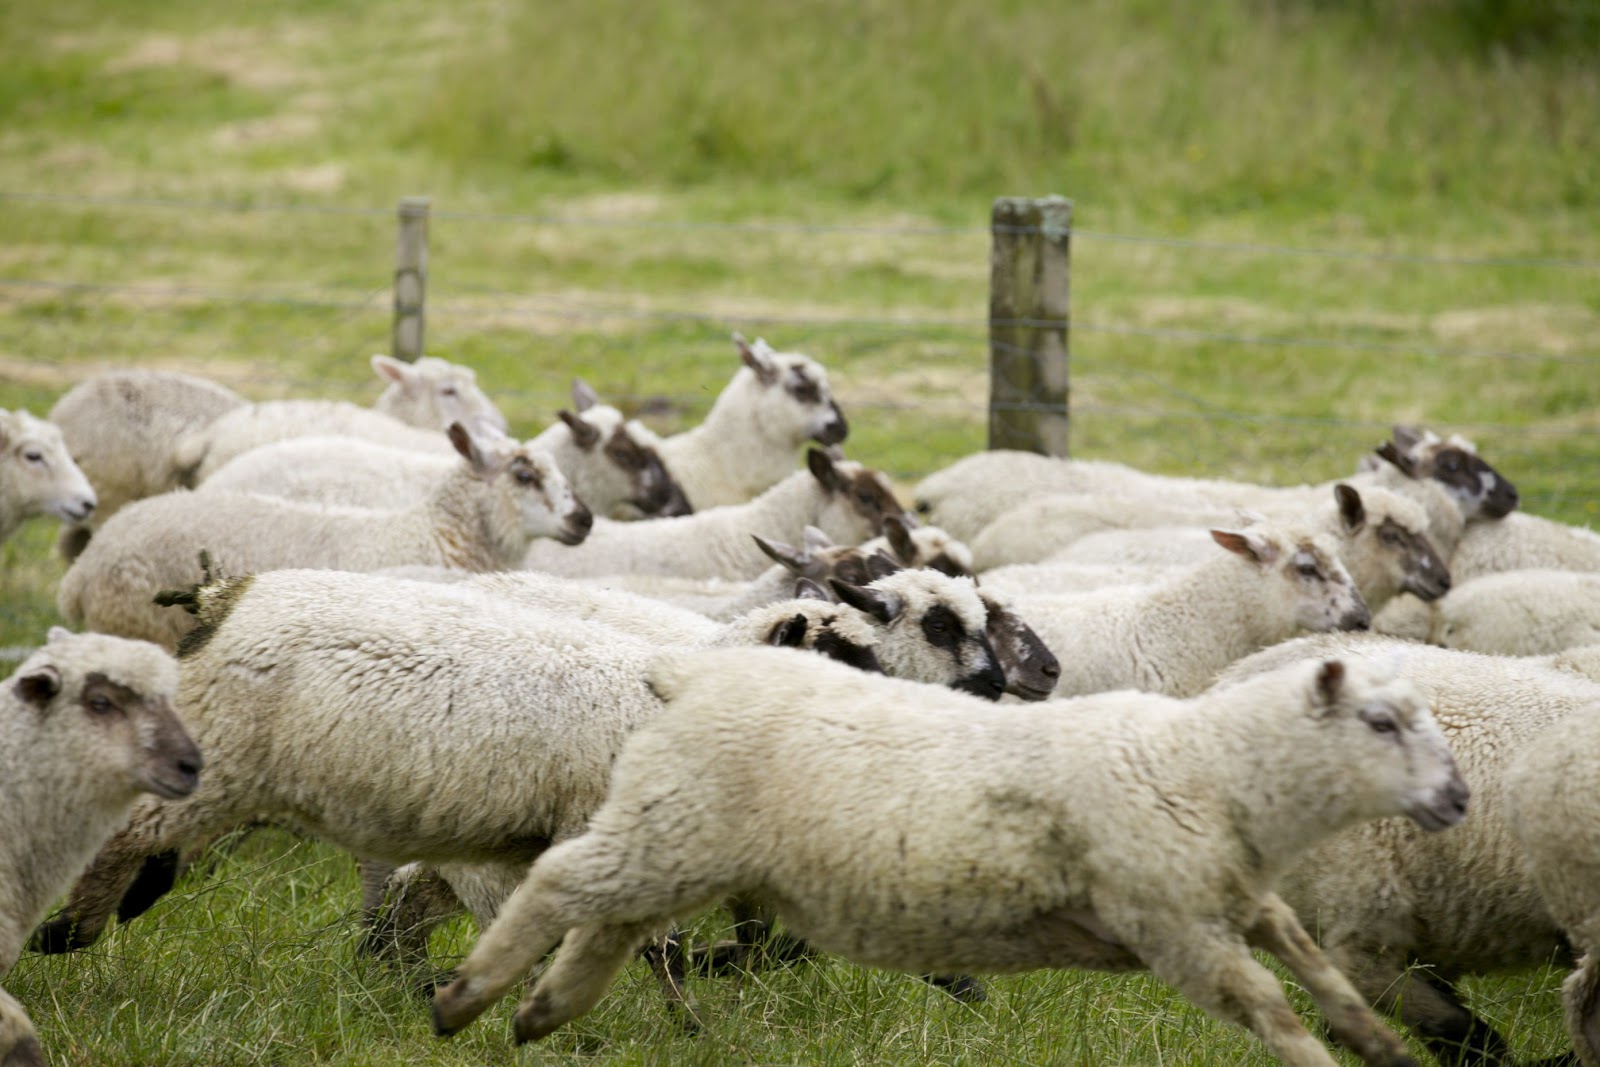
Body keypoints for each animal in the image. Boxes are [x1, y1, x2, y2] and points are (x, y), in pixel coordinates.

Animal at [30, 561, 1005, 959]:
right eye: (937, 626)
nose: (1000, 685)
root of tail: (226, 596)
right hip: (223, 758)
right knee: (129, 832)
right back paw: (67, 931)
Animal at [430, 645, 1466, 1067]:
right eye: (1380, 723)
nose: (1457, 798)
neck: (1205, 764)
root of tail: (690, 676)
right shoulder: (1173, 926)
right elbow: (1266, 1004)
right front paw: (1325, 1058)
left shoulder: (1238, 902)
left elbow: (1314, 964)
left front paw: (1376, 1041)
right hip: (673, 829)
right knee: (559, 881)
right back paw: (465, 1000)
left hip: (680, 839)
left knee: (606, 922)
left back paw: (541, 1011)